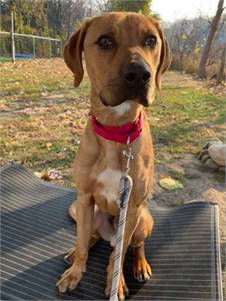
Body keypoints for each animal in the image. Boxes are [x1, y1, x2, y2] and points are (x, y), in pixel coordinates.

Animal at [56, 11, 171, 300]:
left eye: (151, 40)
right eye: (105, 41)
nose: (140, 74)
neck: (117, 132)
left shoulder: (132, 207)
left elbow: (117, 256)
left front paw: (115, 284)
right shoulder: (85, 198)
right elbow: (83, 244)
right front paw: (75, 273)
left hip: (143, 219)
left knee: (136, 245)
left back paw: (140, 264)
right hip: (86, 213)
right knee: (89, 237)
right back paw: (76, 251)